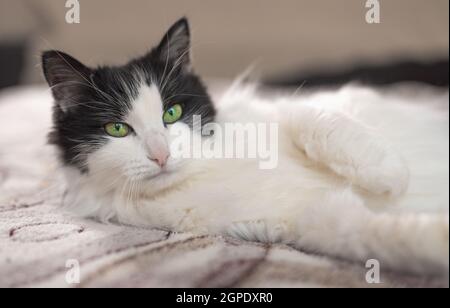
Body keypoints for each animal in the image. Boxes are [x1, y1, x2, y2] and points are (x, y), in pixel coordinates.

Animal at [40, 18, 448, 276]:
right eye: (118, 129)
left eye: (171, 113)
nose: (161, 154)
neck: (203, 172)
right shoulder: (304, 221)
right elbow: (374, 234)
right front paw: (433, 238)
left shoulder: (281, 109)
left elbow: (315, 121)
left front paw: (391, 175)